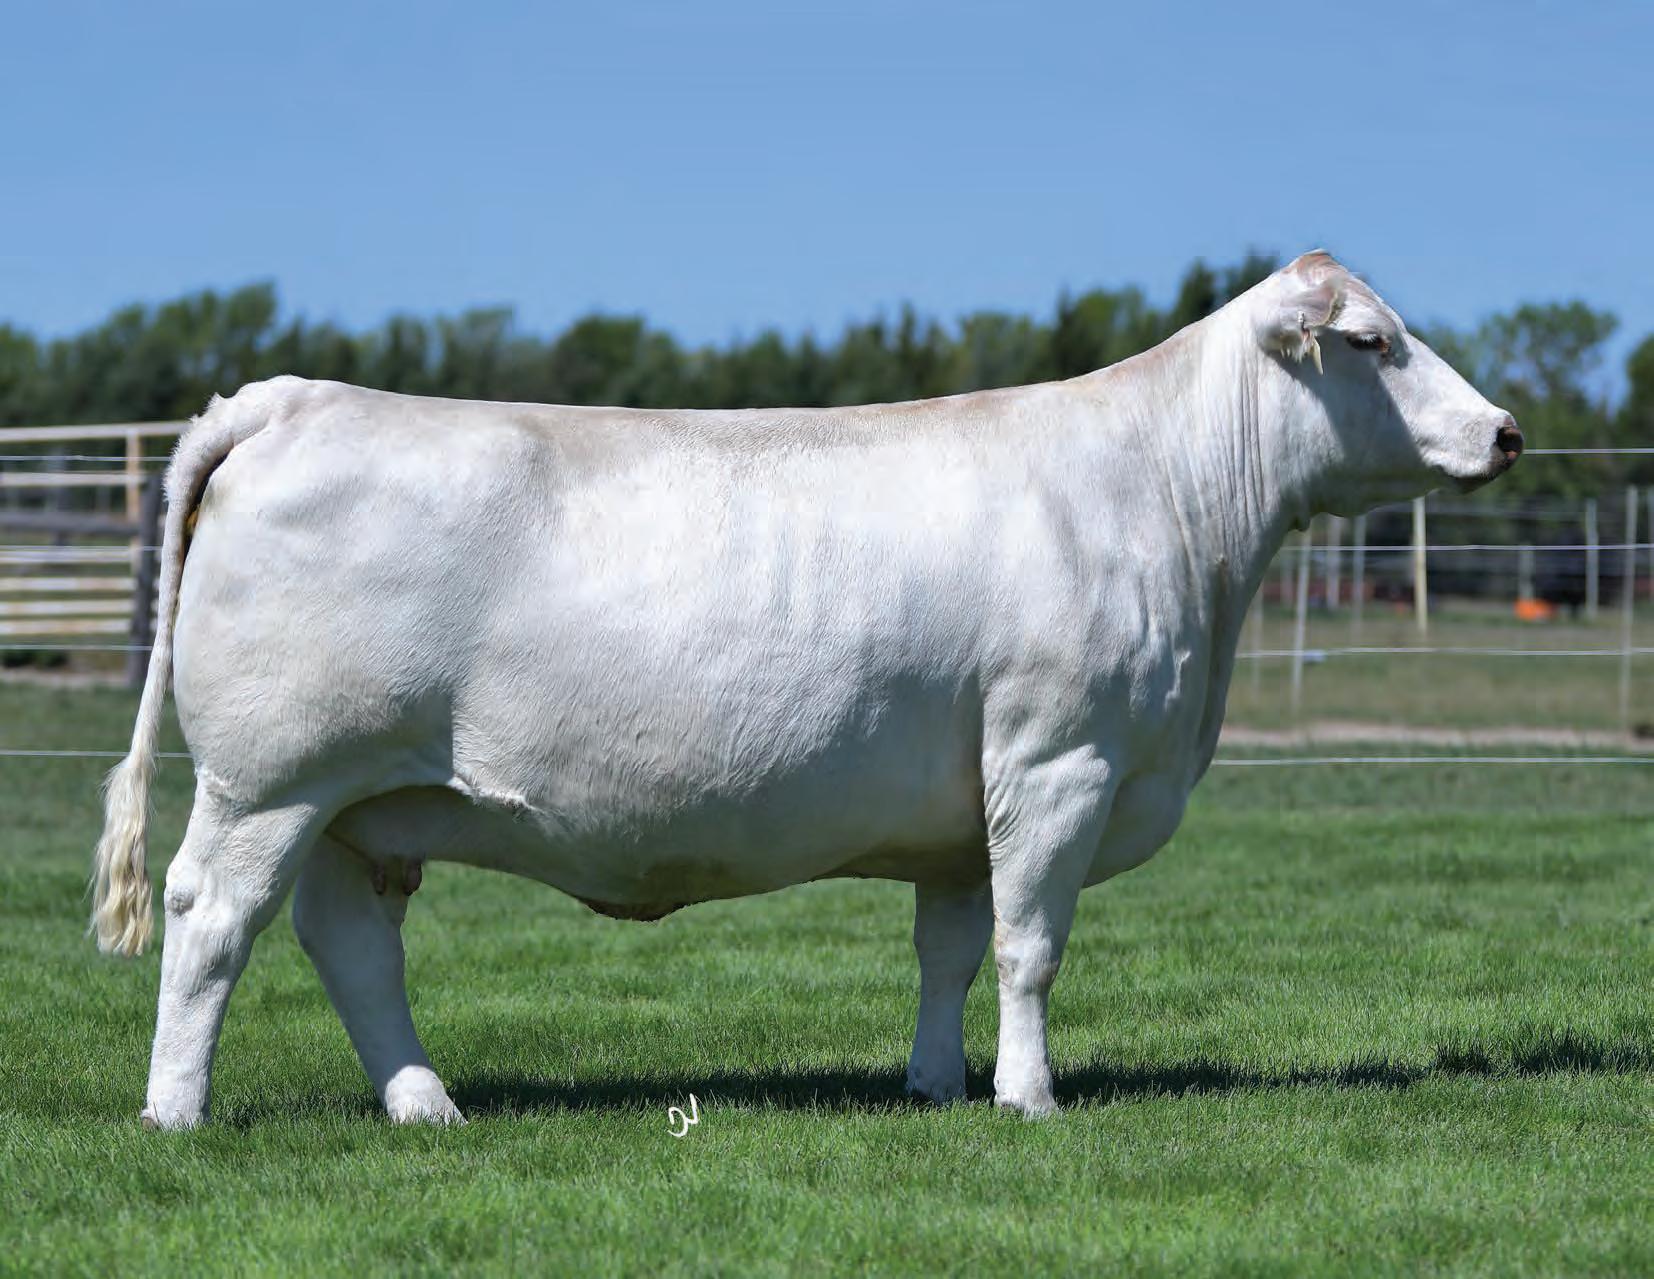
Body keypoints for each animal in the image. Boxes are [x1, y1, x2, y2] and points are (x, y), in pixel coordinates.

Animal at [90, 251, 1521, 1128]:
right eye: (1375, 340)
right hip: (273, 775)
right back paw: (174, 1110)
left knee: (348, 942)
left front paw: (938, 1084)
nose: (1506, 431)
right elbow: (1031, 945)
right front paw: (1031, 1095)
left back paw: (425, 1102)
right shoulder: (1059, 758)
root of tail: (296, 396)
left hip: (354, 801)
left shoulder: (966, 805)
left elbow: (952, 946)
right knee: (212, 916)